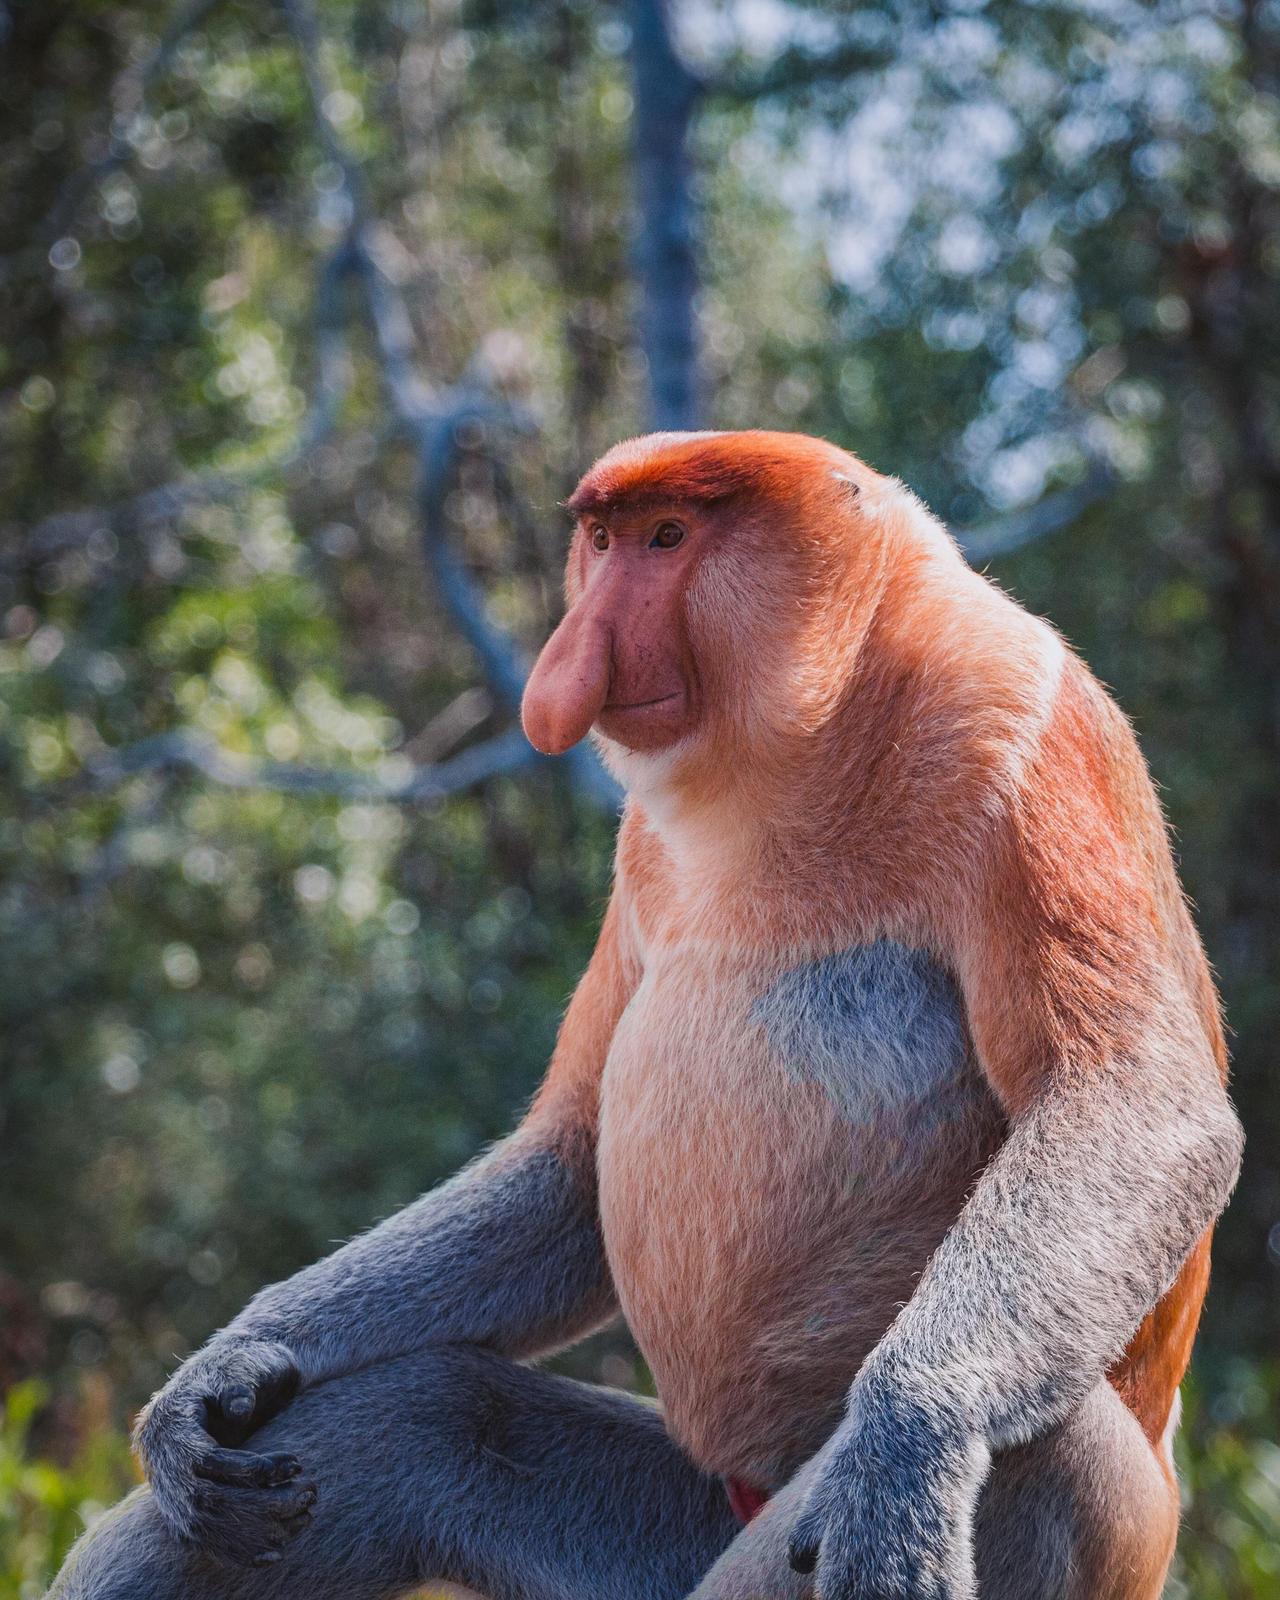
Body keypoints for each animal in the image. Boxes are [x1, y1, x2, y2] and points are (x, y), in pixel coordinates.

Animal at [50, 430, 1242, 1600]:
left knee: (1057, 1450)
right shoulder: (640, 852)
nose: (569, 657)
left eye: (667, 537)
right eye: (602, 540)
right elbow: (572, 1161)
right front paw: (216, 1378)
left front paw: (909, 1444)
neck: (814, 730)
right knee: (417, 1419)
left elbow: (1130, 1101)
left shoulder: (1014, 725)